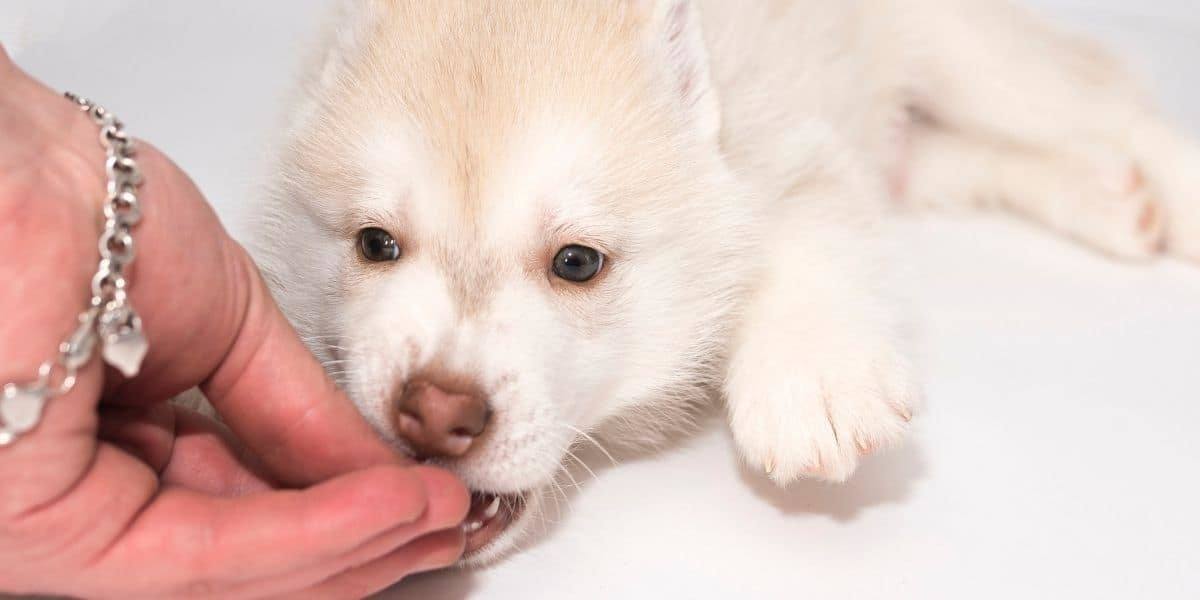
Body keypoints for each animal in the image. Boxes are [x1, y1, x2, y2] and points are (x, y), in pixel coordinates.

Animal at [253, 0, 1200, 561]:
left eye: (576, 263)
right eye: (376, 243)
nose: (434, 411)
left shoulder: (787, 137)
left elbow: (792, 227)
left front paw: (813, 380)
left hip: (963, 54)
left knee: (1108, 104)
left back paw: (1173, 193)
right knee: (940, 153)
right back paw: (1107, 197)